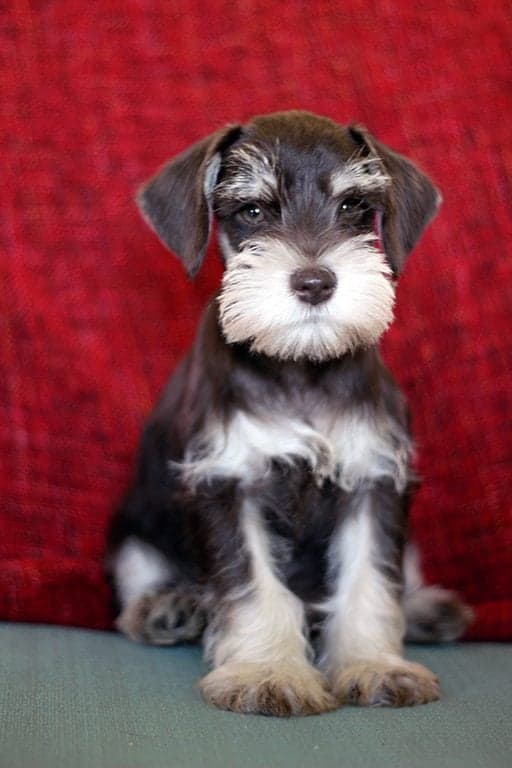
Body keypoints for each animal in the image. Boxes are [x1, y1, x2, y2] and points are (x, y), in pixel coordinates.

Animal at [107, 108, 472, 712]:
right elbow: (253, 586)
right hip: (132, 529)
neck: (301, 365)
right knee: (139, 580)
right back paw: (167, 607)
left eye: (353, 206)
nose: (315, 283)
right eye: (253, 211)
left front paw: (375, 666)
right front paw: (267, 674)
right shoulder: (228, 482)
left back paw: (427, 610)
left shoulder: (374, 480)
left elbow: (370, 581)